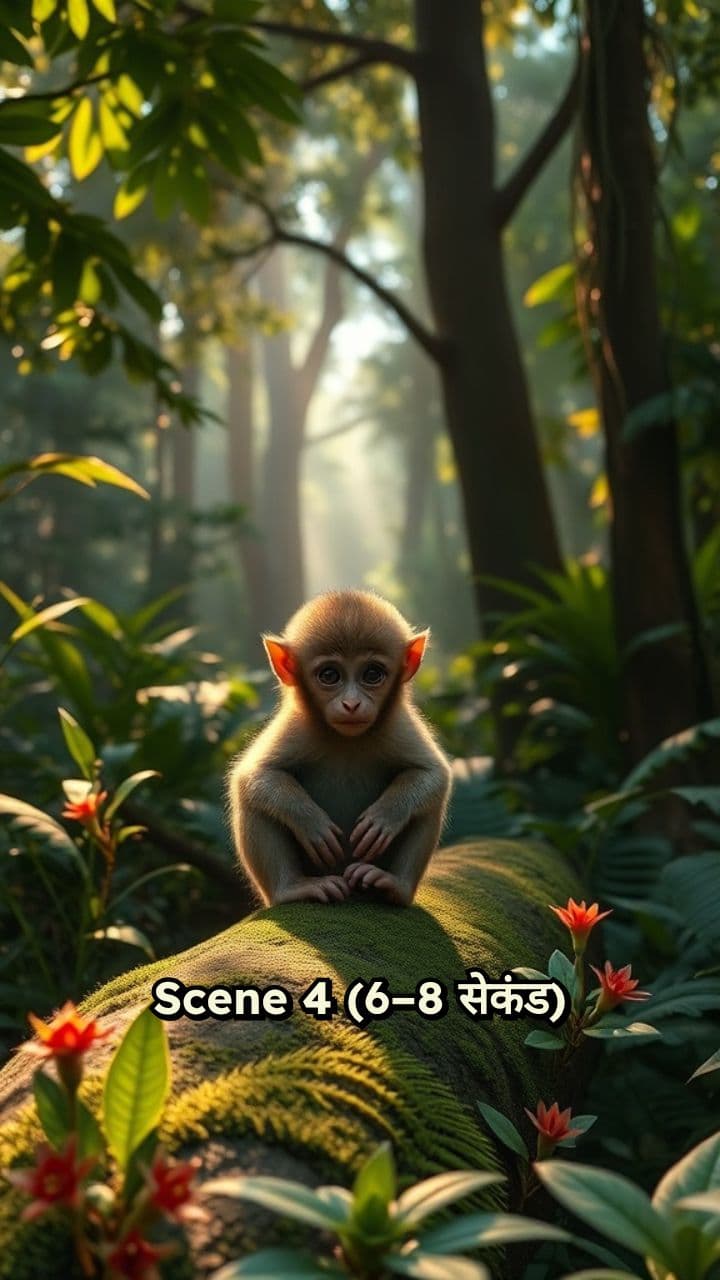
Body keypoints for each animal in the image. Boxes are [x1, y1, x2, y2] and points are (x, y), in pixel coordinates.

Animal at [229, 590, 453, 908]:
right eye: (329, 675)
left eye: (372, 674)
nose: (351, 704)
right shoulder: (297, 725)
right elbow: (255, 774)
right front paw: (311, 823)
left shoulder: (397, 723)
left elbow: (433, 773)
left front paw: (384, 817)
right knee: (251, 799)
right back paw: (292, 889)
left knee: (430, 803)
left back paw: (393, 886)